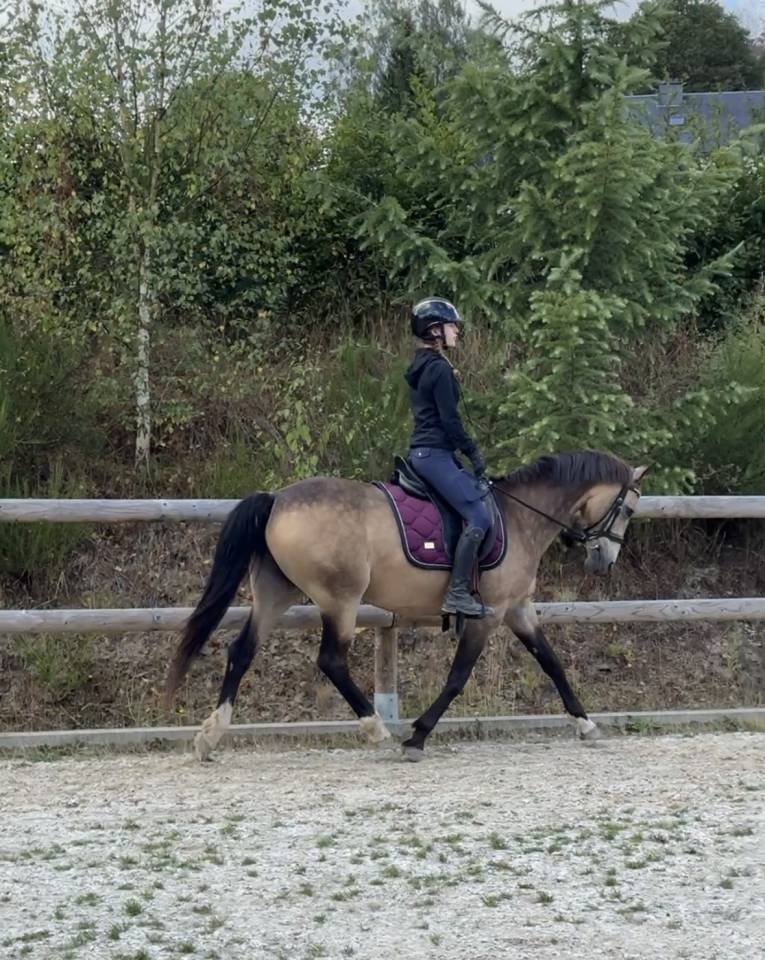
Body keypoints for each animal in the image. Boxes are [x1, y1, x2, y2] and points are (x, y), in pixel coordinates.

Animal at [165, 449, 647, 761]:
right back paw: (376, 728)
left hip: (275, 592)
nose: (604, 559)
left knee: (242, 651)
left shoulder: (517, 609)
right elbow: (457, 677)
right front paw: (417, 736)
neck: (520, 517)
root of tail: (277, 499)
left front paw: (585, 724)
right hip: (340, 600)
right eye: (627, 509)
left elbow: (551, 662)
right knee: (331, 660)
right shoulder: (488, 615)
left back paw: (210, 736)